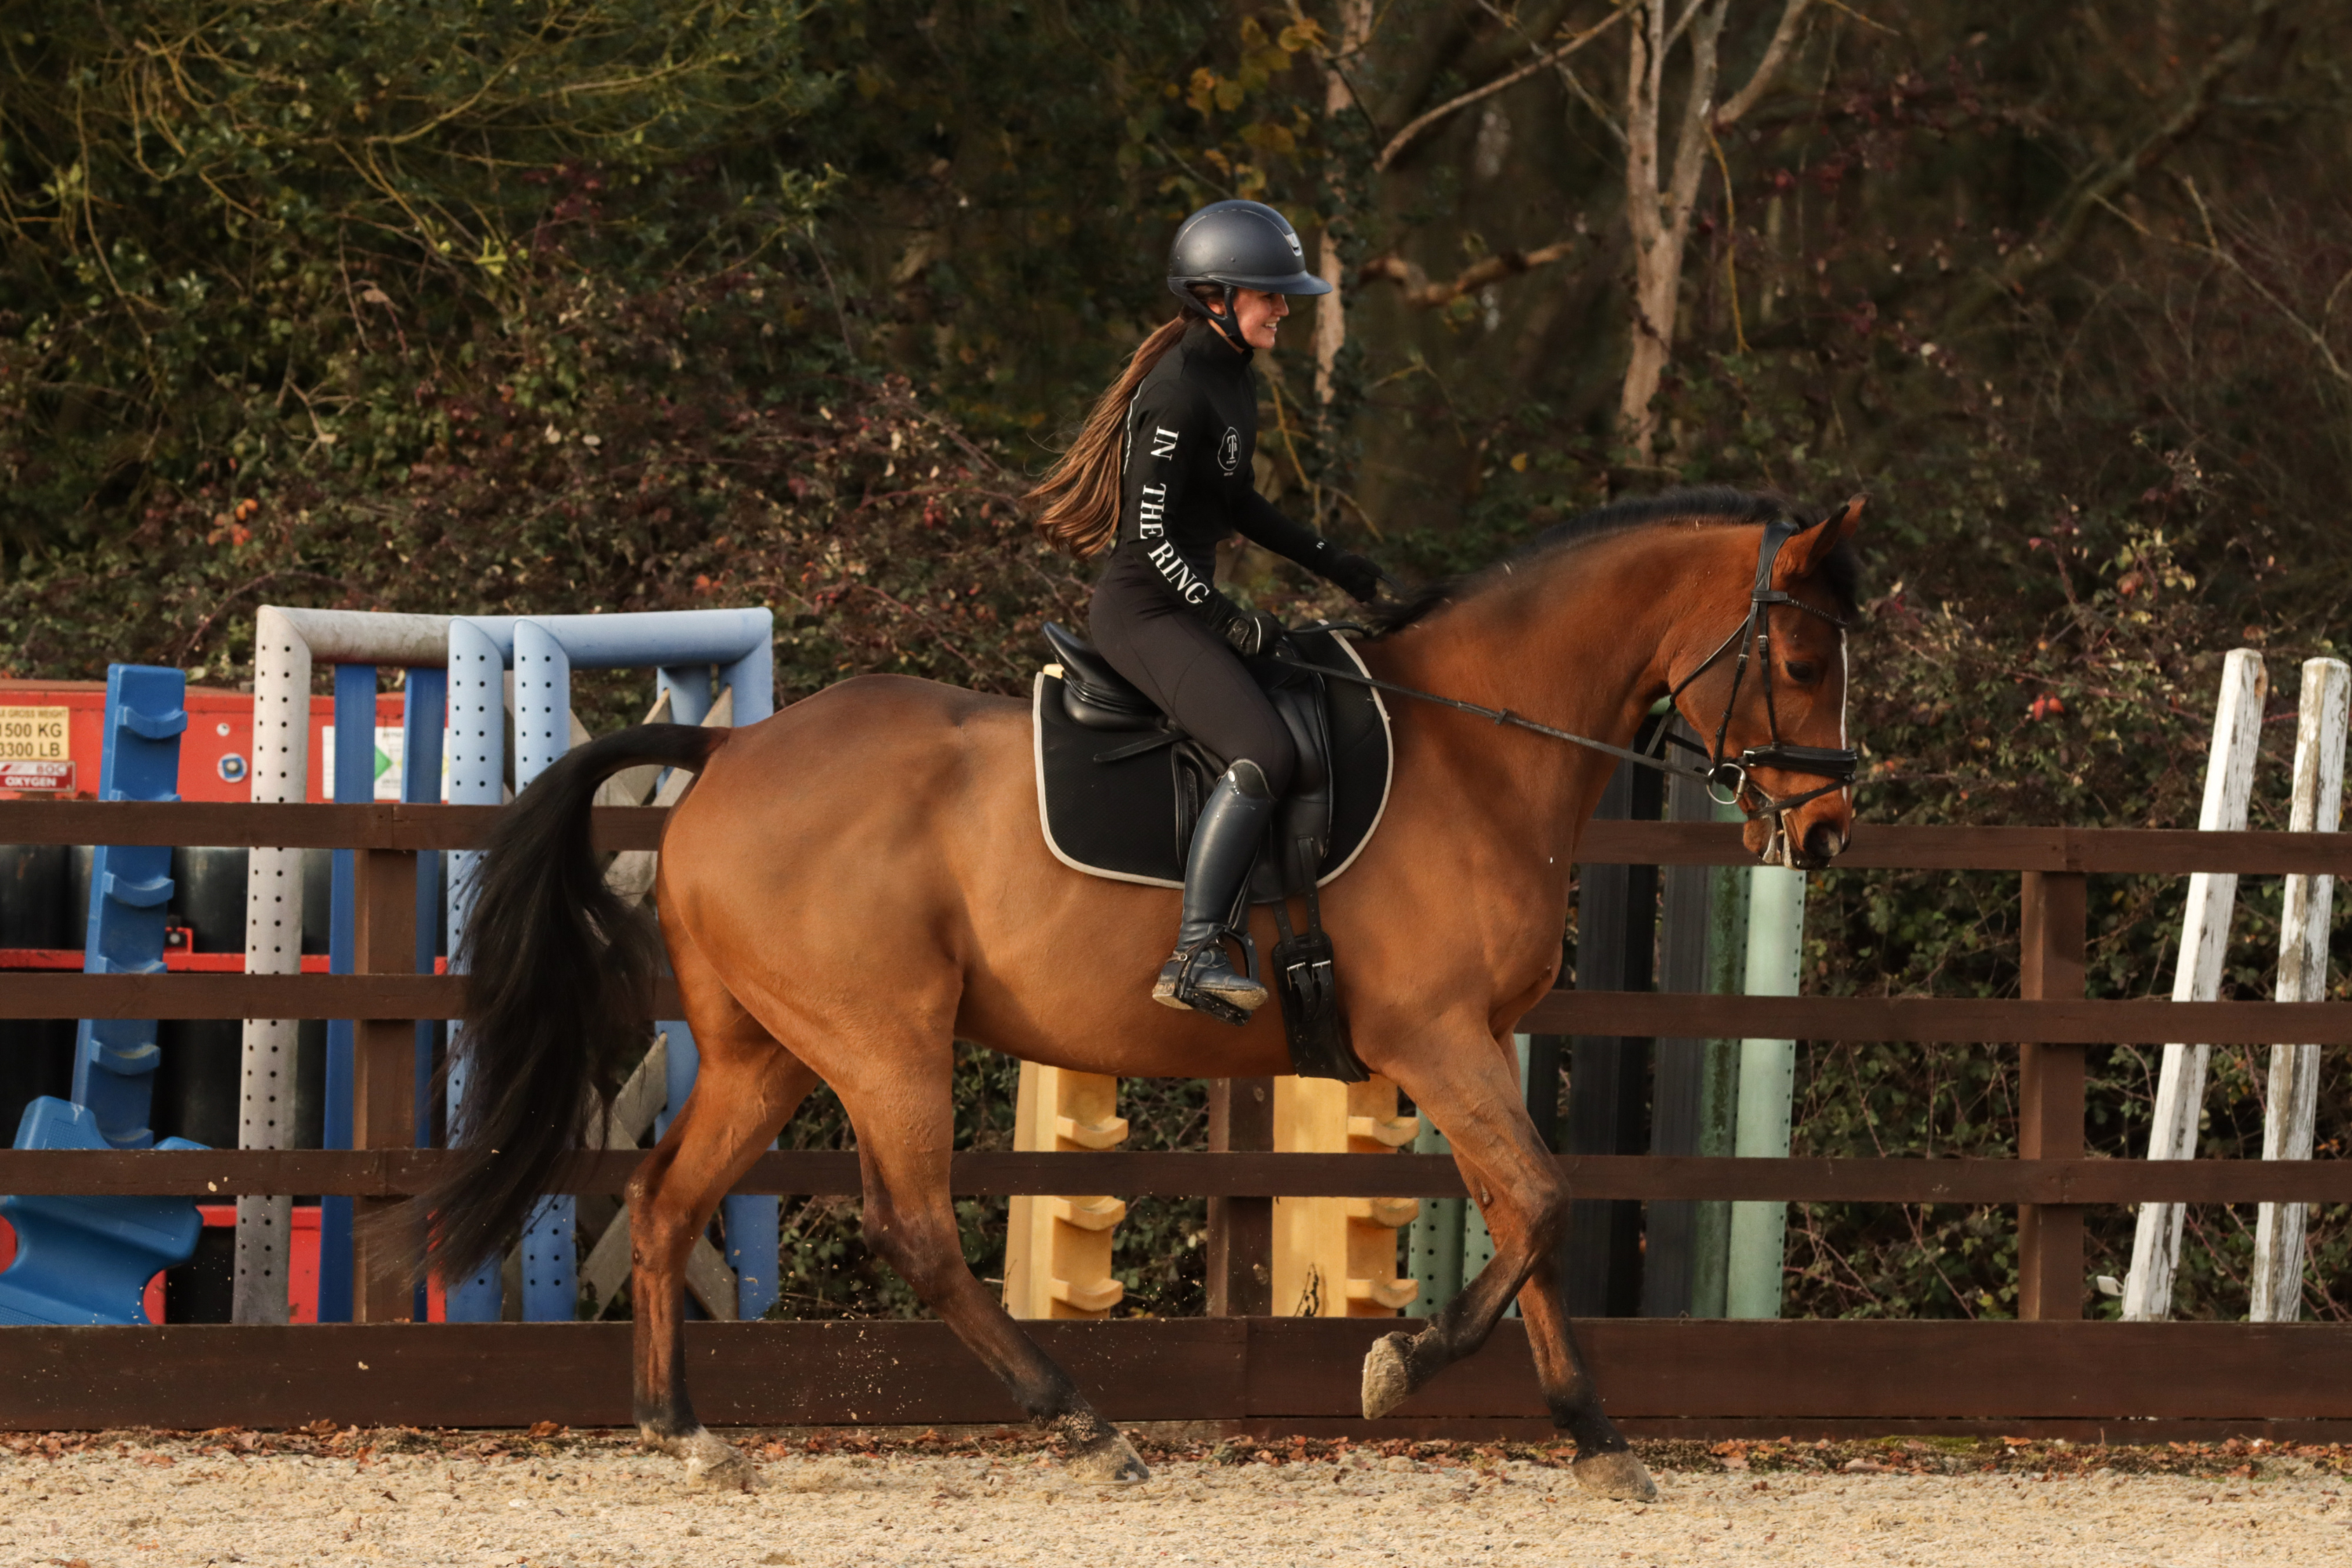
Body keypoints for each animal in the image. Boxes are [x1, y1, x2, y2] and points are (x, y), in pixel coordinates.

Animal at [419, 486, 1865, 1500]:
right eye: (1801, 666)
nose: (1831, 826)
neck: (1477, 745)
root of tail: (730, 755)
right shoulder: (1436, 1039)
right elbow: (1548, 1205)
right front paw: (1398, 1367)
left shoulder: (1485, 1044)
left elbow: (1532, 1216)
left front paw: (1597, 1437)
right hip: (883, 1043)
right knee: (914, 1225)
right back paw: (1084, 1424)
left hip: (762, 1055)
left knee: (667, 1202)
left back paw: (685, 1433)